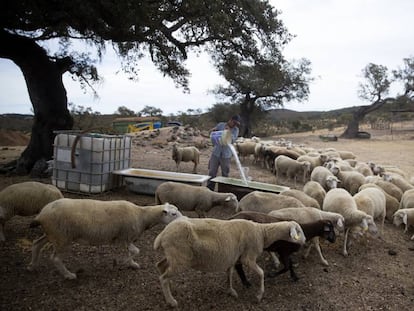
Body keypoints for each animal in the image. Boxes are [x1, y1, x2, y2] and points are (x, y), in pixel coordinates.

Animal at [25, 200, 181, 280]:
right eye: (173, 214)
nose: (183, 219)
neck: (142, 215)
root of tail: (41, 214)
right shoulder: (125, 236)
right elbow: (136, 251)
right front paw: (124, 262)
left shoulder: (125, 238)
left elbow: (132, 251)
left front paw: (131, 263)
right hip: (61, 237)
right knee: (56, 258)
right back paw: (68, 275)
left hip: (52, 234)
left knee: (36, 244)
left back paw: (32, 266)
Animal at [154, 217, 306, 308]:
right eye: (299, 230)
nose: (304, 241)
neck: (262, 232)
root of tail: (163, 234)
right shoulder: (248, 258)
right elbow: (262, 273)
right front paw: (259, 295)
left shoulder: (232, 257)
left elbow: (230, 274)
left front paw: (231, 291)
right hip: (180, 259)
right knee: (163, 278)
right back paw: (171, 301)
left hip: (173, 256)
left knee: (160, 266)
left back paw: (167, 292)